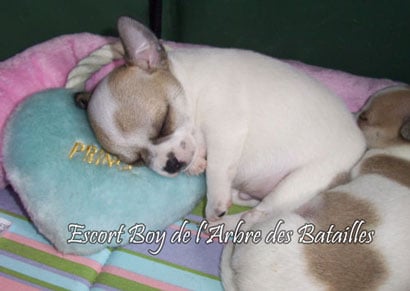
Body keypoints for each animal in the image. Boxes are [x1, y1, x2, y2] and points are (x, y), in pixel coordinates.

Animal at [79, 16, 366, 221]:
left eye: (164, 122)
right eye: (137, 161)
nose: (171, 165)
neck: (191, 86)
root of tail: (361, 144)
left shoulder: (226, 131)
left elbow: (217, 169)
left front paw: (214, 202)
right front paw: (196, 163)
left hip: (302, 181)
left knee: (257, 218)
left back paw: (224, 223)